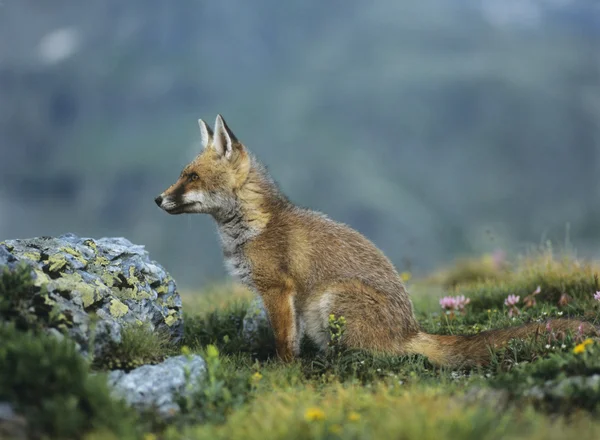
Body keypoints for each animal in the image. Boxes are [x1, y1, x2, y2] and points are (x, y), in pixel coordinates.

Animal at [156, 115, 600, 366]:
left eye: (190, 177)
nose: (157, 199)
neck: (252, 226)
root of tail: (411, 329)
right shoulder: (284, 298)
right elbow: (291, 341)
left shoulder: (277, 290)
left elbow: (284, 344)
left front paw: (282, 375)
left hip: (331, 299)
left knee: (379, 358)